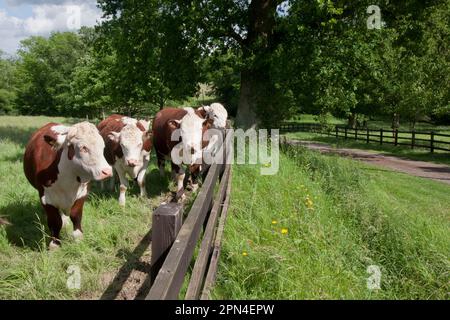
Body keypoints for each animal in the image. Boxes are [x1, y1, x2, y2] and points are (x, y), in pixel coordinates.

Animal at [23, 121, 113, 249]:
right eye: (83, 148)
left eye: (102, 147)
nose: (107, 171)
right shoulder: (45, 198)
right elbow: (55, 221)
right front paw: (55, 243)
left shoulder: (82, 193)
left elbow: (76, 215)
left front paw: (78, 238)